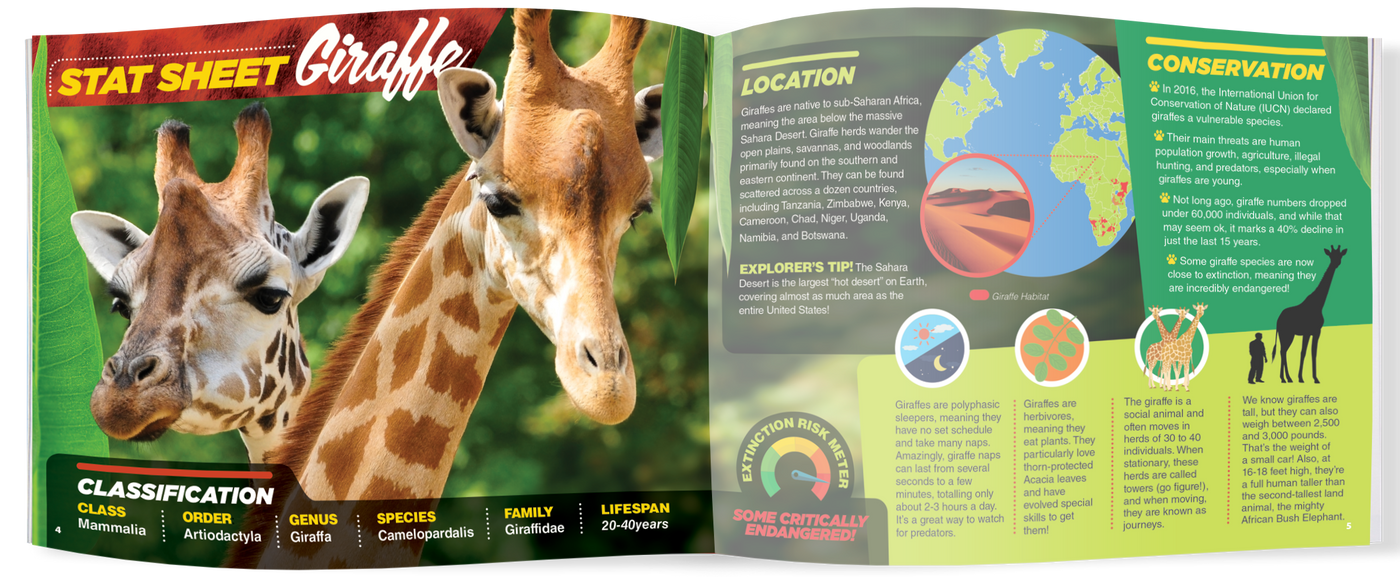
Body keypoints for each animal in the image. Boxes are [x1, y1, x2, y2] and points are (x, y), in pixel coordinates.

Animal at [1273, 246, 1346, 383]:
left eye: (1340, 255)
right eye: (1331, 256)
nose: (1336, 263)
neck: (1318, 304)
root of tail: (1278, 320)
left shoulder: (1317, 332)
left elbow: (1314, 353)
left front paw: (1315, 378)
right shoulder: (1307, 332)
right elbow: (1303, 352)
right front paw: (1301, 378)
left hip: (1286, 334)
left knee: (1282, 351)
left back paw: (1285, 378)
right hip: (1287, 334)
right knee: (1283, 351)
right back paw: (1287, 378)